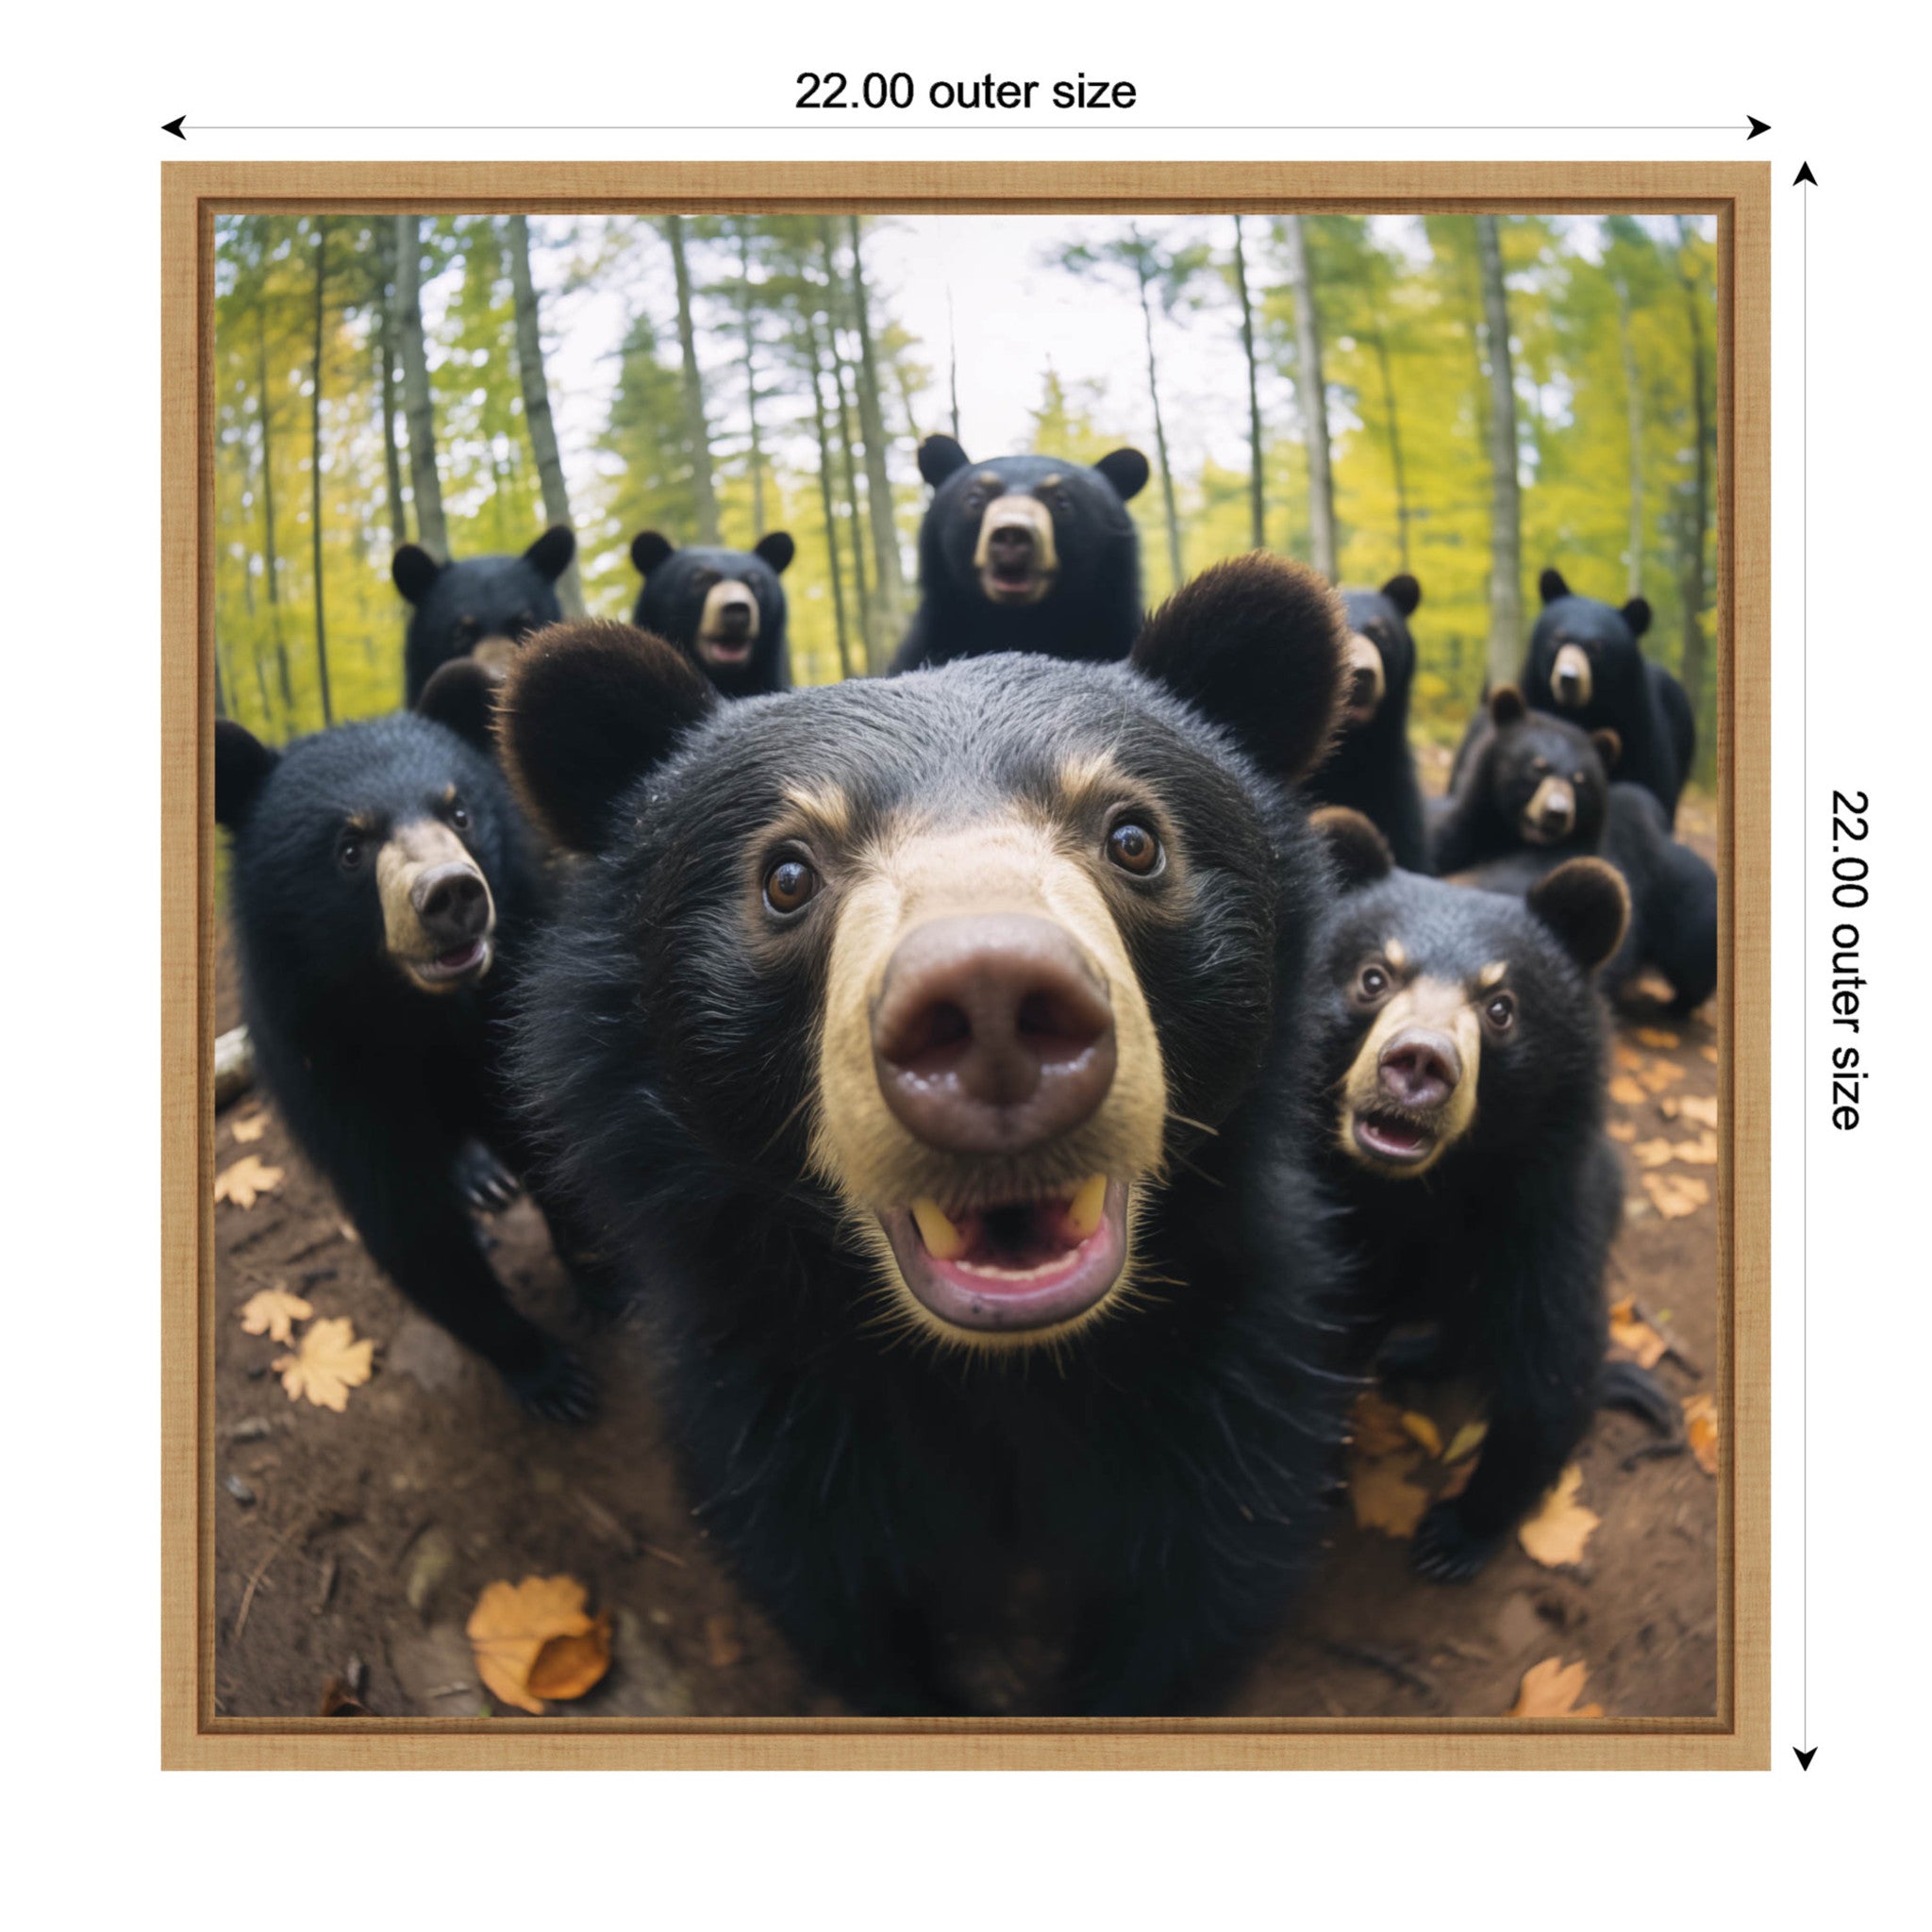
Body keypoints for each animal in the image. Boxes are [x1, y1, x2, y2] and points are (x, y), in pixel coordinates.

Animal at [214, 662, 600, 1420]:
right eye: (349, 848)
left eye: (458, 812)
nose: (451, 895)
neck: (422, 1015)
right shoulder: (325, 1060)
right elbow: (403, 1218)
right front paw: (548, 1376)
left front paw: (604, 1286)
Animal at [499, 556, 1359, 1716]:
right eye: (786, 875)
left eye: (1132, 838)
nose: (991, 1002)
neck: (997, 1375)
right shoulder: (773, 1400)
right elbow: (836, 1595)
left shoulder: (1233, 1368)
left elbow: (1200, 1580)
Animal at [1308, 807, 1642, 1581]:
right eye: (1374, 977)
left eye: (1500, 1007)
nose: (1419, 1063)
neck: (1420, 1191)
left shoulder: (1542, 1206)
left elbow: (1553, 1365)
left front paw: (1457, 1534)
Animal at [1468, 567, 1695, 823]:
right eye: (1557, 637)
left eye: (1597, 646)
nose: (1568, 678)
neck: (1581, 712)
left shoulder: (1639, 731)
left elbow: (1651, 785)